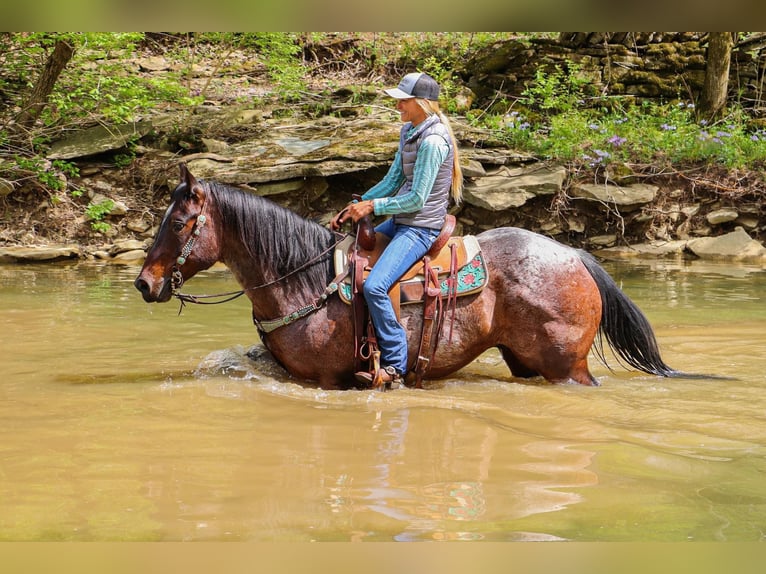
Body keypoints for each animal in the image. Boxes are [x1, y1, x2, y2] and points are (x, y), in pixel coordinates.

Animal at [136, 164, 688, 394]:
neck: (303, 280)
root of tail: (573, 255)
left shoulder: (329, 380)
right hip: (527, 360)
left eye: (179, 223)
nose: (144, 282)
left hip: (566, 367)